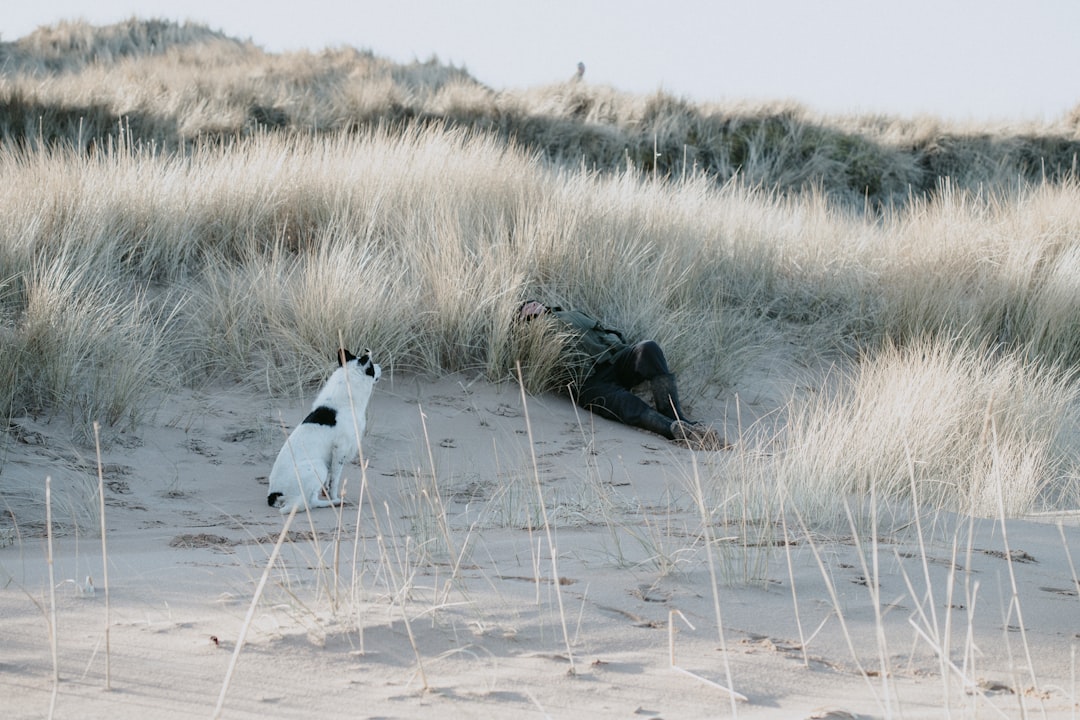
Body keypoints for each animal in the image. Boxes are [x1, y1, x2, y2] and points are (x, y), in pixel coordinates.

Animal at [265, 347, 380, 511]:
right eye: (372, 368)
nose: (380, 366)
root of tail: (273, 494)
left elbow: (328, 482)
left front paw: (327, 493)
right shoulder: (340, 450)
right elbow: (335, 481)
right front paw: (334, 496)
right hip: (318, 467)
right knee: (311, 502)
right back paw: (336, 502)